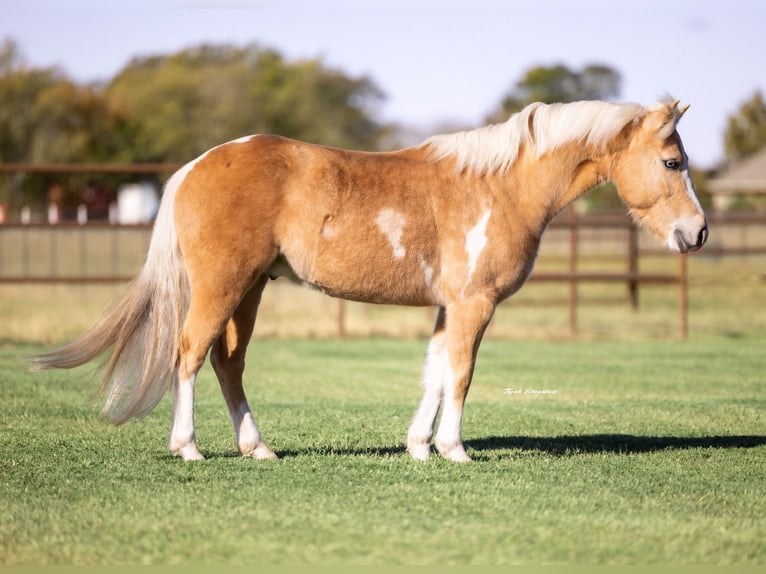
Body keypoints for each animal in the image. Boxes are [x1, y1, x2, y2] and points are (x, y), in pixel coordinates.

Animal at [32, 98, 708, 462]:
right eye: (672, 161)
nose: (697, 233)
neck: (499, 186)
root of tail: (199, 163)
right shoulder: (475, 303)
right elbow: (461, 373)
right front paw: (455, 449)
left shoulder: (449, 306)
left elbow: (435, 370)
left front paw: (419, 447)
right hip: (224, 285)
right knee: (190, 354)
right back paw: (188, 446)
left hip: (251, 289)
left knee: (228, 364)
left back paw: (258, 448)